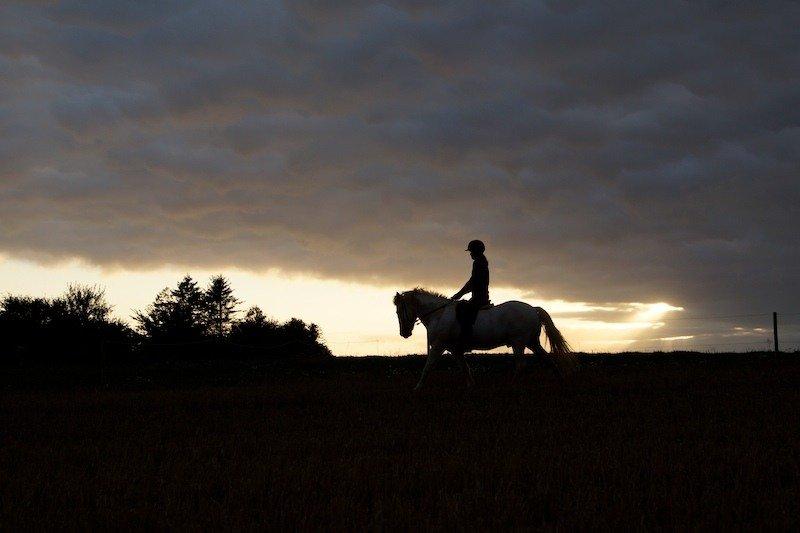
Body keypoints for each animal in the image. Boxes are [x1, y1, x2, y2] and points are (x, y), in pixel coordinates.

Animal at [392, 288, 576, 388]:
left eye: (400, 310)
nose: (404, 333)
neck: (439, 314)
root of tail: (533, 309)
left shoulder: (439, 346)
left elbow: (428, 367)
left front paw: (417, 388)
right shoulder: (454, 349)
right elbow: (464, 367)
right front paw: (471, 386)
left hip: (519, 342)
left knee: (521, 365)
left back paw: (511, 385)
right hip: (531, 342)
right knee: (548, 360)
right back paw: (562, 382)